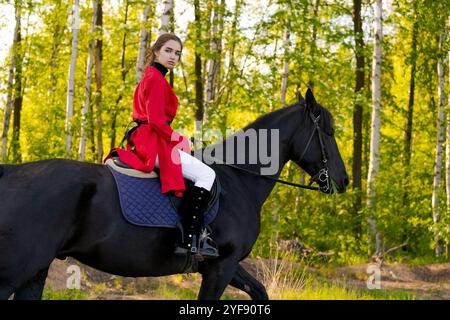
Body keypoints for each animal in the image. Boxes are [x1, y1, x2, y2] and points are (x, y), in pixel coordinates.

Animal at [0, 89, 348, 298]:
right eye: (329, 132)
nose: (343, 181)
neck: (239, 180)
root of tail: (10, 171)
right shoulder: (221, 266)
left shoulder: (225, 264)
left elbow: (259, 291)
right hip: (17, 268)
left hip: (36, 269)